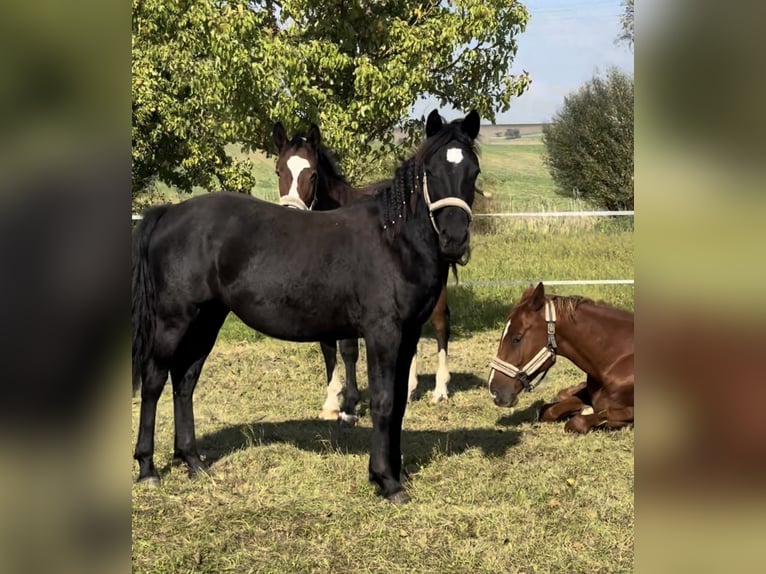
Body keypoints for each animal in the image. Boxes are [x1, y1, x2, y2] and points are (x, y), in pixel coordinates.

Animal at [271, 118, 454, 423]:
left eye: (312, 175)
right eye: (278, 171)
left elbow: (347, 350)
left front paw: (350, 403)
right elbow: (327, 347)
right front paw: (331, 403)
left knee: (441, 325)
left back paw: (440, 390)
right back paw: (409, 388)